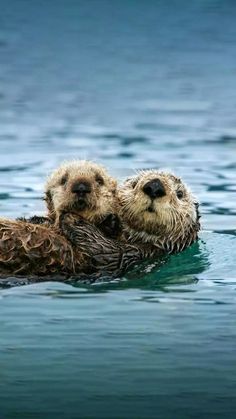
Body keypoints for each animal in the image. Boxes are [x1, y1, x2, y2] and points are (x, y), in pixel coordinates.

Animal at [59, 171, 201, 276]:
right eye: (134, 184)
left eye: (180, 194)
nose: (155, 186)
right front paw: (110, 222)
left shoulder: (139, 254)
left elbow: (108, 250)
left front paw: (72, 219)